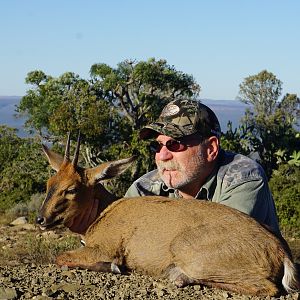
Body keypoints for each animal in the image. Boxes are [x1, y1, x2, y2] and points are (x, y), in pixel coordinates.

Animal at [37, 135, 300, 296]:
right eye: (49, 184)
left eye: (71, 189)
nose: (41, 219)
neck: (102, 212)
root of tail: (281, 252)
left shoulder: (107, 248)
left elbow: (61, 257)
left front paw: (114, 268)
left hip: (186, 248)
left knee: (268, 288)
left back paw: (178, 276)